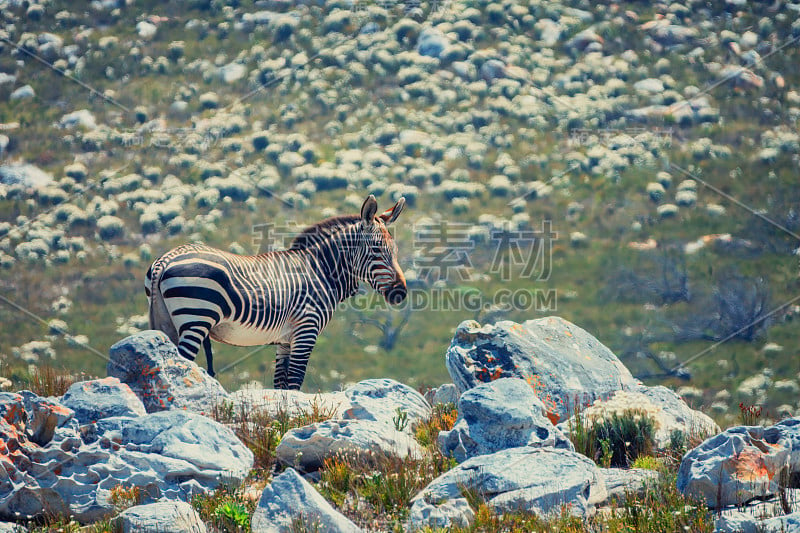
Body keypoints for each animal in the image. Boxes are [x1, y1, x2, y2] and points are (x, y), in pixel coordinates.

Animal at [145, 193, 406, 388]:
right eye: (376, 249)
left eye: (395, 250)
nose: (401, 293)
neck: (321, 269)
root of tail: (165, 260)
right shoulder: (306, 331)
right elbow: (295, 383)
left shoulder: (285, 341)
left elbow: (281, 386)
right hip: (195, 318)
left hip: (166, 322)